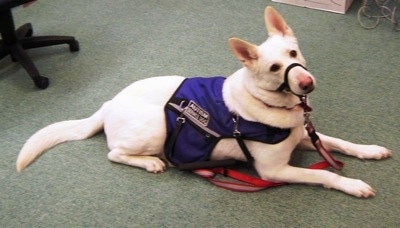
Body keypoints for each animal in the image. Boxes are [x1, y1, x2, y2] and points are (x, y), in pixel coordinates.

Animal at [16, 6, 390, 198]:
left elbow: (340, 143)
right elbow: (324, 175)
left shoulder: (302, 134)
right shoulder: (273, 171)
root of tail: (109, 104)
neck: (270, 106)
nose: (307, 83)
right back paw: (150, 163)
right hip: (156, 127)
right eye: (273, 68)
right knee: (115, 154)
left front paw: (370, 150)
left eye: (293, 53)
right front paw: (353, 184)